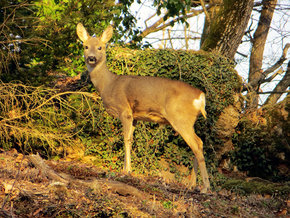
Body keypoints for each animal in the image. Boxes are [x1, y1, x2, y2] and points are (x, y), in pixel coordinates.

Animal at [76, 23, 210, 192]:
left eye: (100, 47)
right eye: (86, 46)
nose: (91, 58)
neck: (108, 84)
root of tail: (201, 96)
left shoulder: (125, 110)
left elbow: (126, 139)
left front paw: (126, 170)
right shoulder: (135, 117)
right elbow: (131, 139)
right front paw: (127, 168)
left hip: (181, 118)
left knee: (196, 145)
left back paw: (205, 187)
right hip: (189, 120)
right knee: (199, 143)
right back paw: (191, 184)